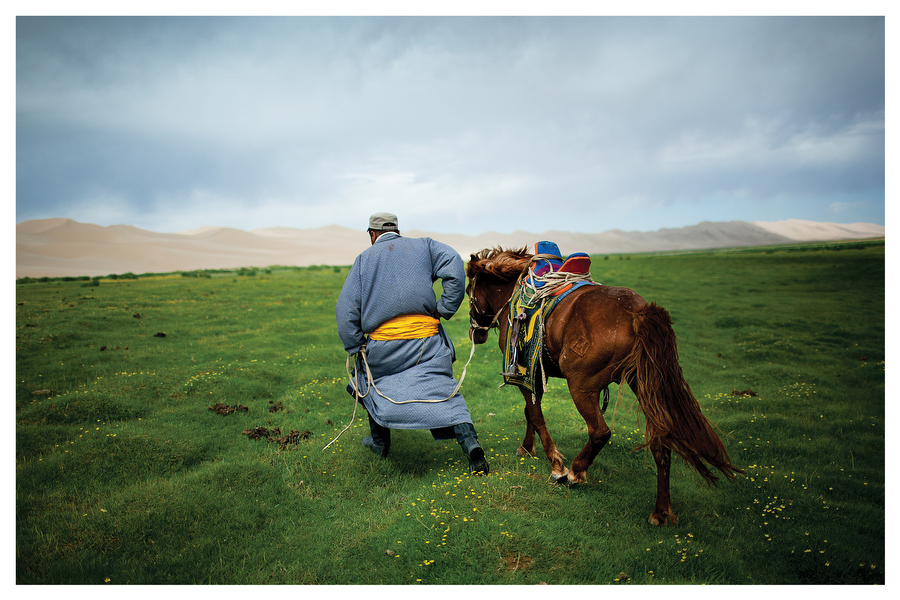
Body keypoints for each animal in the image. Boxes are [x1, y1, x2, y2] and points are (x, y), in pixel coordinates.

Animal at [468, 246, 740, 524]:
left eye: (469, 291)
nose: (476, 333)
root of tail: (638, 310)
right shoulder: (533, 376)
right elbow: (530, 412)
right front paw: (526, 447)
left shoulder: (525, 374)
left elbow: (535, 414)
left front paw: (555, 464)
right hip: (642, 384)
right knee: (661, 442)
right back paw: (661, 511)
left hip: (581, 386)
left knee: (600, 432)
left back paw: (575, 472)